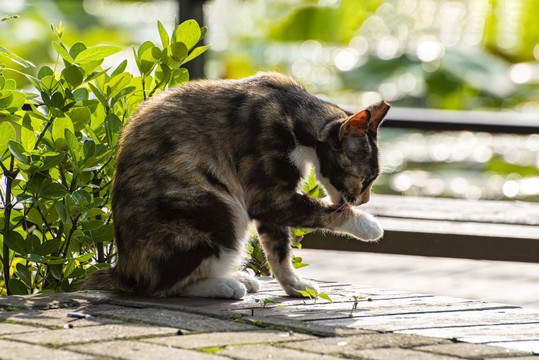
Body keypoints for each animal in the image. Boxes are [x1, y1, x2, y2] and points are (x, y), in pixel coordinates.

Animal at [81, 72, 388, 298]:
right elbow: (323, 212)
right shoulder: (266, 194)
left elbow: (278, 250)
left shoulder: (272, 205)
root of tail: (122, 271)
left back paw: (237, 276)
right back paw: (225, 285)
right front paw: (369, 225)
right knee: (161, 287)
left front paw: (295, 285)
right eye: (366, 179)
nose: (365, 201)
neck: (294, 114)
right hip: (217, 209)